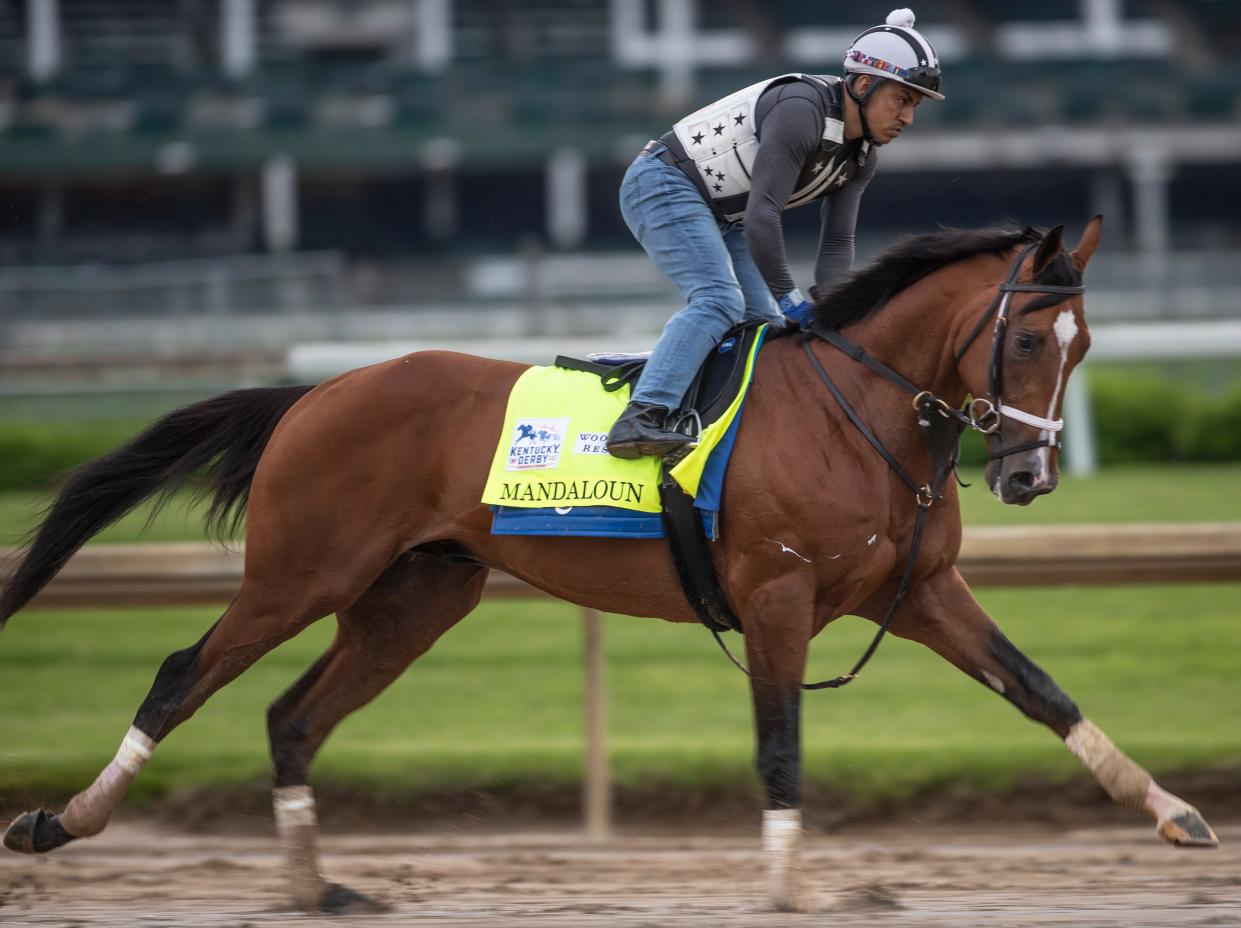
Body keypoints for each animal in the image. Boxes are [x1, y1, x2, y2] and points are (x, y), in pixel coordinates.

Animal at [2, 217, 1221, 913]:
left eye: (1082, 349)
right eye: (1023, 339)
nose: (1028, 476)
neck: (859, 413)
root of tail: (315, 390)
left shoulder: (915, 590)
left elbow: (1042, 691)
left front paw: (1174, 812)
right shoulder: (776, 597)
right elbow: (779, 749)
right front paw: (791, 891)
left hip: (413, 596)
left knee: (292, 717)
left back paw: (315, 888)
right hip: (299, 574)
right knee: (182, 675)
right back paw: (59, 823)